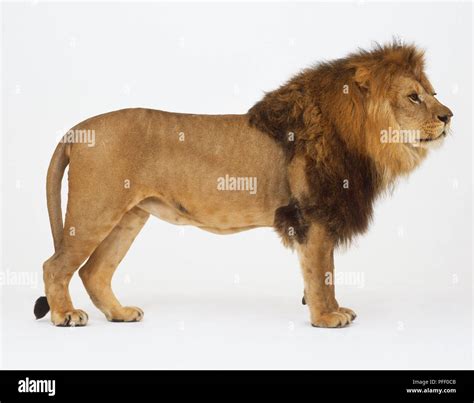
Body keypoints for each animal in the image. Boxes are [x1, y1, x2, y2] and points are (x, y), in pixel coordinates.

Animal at [32, 42, 452, 328]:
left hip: (129, 216)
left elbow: (325, 272)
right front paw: (326, 318)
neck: (360, 137)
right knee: (55, 265)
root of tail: (78, 130)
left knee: (93, 271)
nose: (449, 116)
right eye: (414, 97)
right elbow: (321, 272)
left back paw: (119, 313)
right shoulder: (312, 216)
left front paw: (332, 311)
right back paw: (65, 315)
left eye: (433, 93)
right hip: (95, 210)